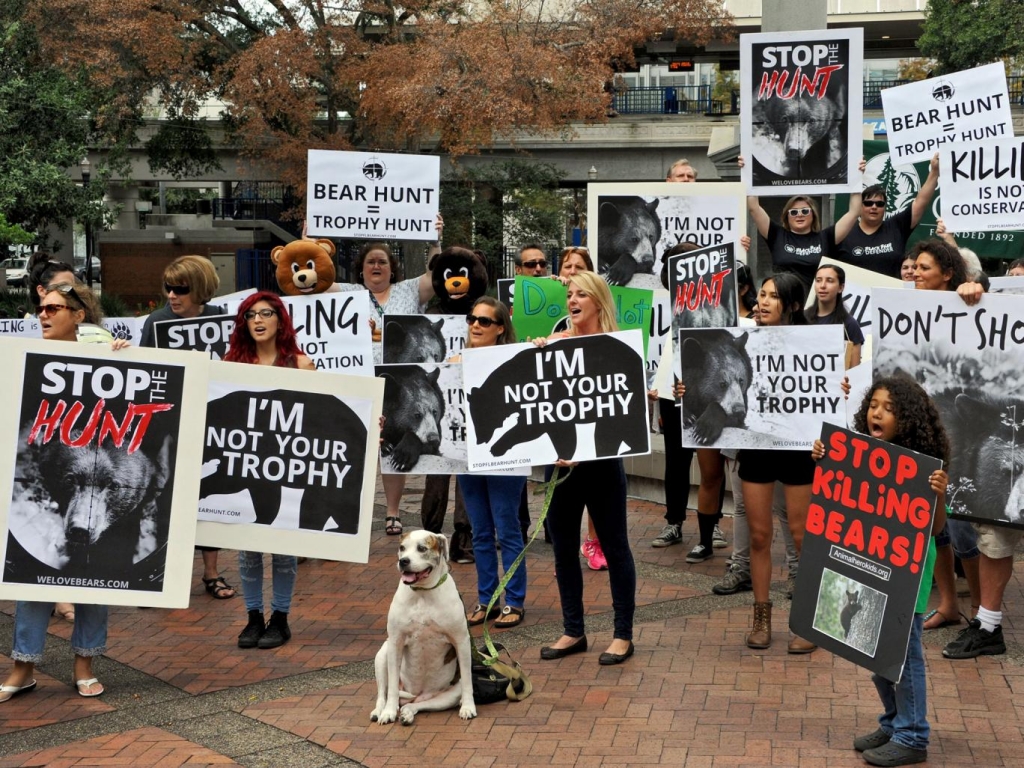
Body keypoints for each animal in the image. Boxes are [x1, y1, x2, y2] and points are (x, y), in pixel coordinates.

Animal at [372, 532, 475, 724]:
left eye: (422, 548)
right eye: (402, 548)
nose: (403, 561)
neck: (423, 592)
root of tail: (416, 695)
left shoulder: (462, 641)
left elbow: (467, 680)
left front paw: (468, 707)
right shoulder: (395, 642)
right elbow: (391, 689)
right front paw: (389, 712)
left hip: (446, 695)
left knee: (417, 704)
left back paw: (407, 713)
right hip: (383, 654)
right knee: (384, 692)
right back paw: (380, 711)